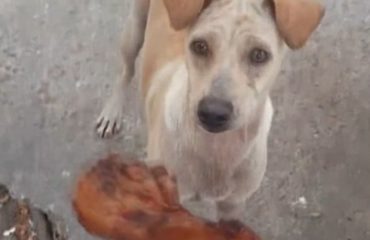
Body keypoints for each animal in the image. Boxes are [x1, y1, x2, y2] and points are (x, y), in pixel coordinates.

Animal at [94, 0, 324, 221]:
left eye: (259, 54)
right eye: (200, 46)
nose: (213, 112)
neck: (215, 149)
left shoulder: (232, 206)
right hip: (135, 29)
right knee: (126, 70)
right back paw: (111, 112)